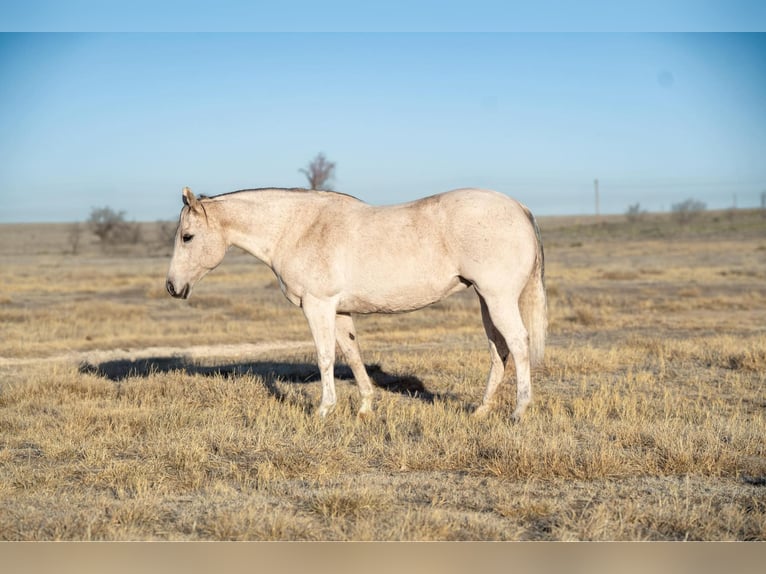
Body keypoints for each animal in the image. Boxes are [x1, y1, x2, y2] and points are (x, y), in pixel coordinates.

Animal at [167, 187, 548, 420]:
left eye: (188, 237)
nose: (172, 287)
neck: (298, 228)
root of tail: (519, 208)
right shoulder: (340, 311)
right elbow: (351, 354)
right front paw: (365, 407)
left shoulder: (318, 306)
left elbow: (324, 356)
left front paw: (324, 409)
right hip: (485, 300)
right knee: (499, 350)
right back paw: (481, 410)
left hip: (498, 299)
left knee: (518, 344)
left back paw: (519, 411)